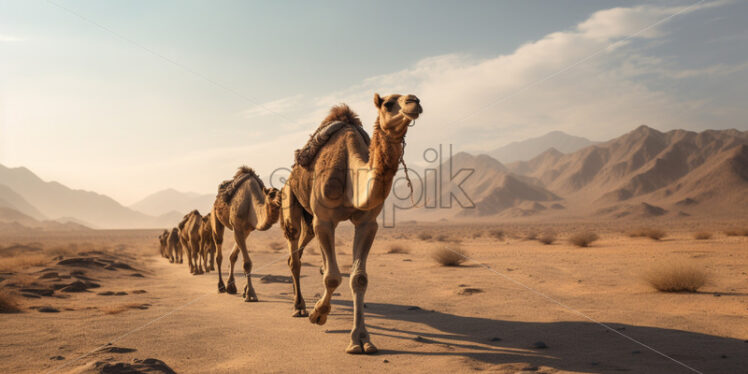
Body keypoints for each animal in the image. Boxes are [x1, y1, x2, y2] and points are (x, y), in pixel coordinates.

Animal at [212, 167, 282, 300]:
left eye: (283, 193)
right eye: (271, 194)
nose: (280, 201)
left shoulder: (247, 230)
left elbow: (235, 257)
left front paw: (244, 290)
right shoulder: (237, 226)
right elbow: (247, 263)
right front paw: (251, 294)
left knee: (232, 256)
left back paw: (231, 287)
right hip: (215, 216)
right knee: (218, 251)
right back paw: (221, 286)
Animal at [280, 93, 420, 354]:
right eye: (388, 103)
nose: (414, 102)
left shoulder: (367, 223)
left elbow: (359, 278)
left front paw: (361, 339)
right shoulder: (325, 220)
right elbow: (333, 277)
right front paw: (318, 314)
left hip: (310, 221)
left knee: (307, 248)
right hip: (290, 201)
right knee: (294, 256)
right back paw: (299, 306)